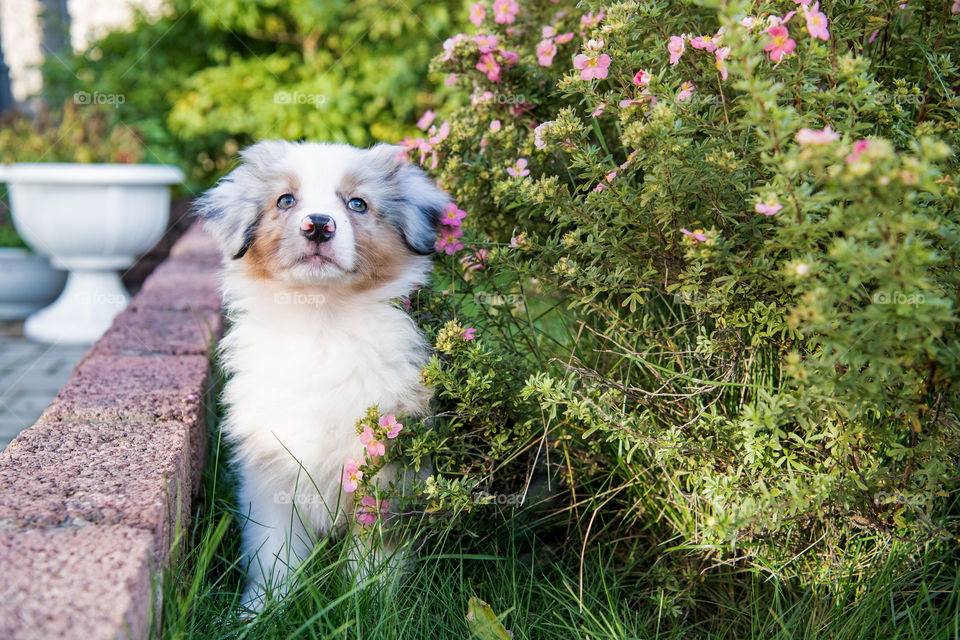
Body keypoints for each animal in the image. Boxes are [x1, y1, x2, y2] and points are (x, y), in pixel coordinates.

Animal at [198, 141, 450, 608]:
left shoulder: (388, 470)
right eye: (285, 201)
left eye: (357, 204)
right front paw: (260, 609)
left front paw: (366, 605)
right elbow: (273, 552)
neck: (321, 318)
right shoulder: (270, 470)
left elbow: (374, 556)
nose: (318, 225)